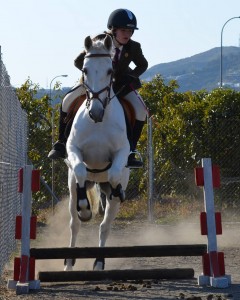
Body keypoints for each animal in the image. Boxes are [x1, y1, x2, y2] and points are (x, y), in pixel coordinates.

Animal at [64, 34, 129, 270]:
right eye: (85, 69)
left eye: (110, 71)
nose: (96, 112)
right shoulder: (73, 150)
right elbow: (81, 170)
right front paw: (85, 208)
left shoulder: (122, 152)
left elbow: (114, 174)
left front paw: (116, 190)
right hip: (71, 185)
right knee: (74, 224)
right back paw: (69, 262)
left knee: (105, 226)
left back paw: (99, 262)